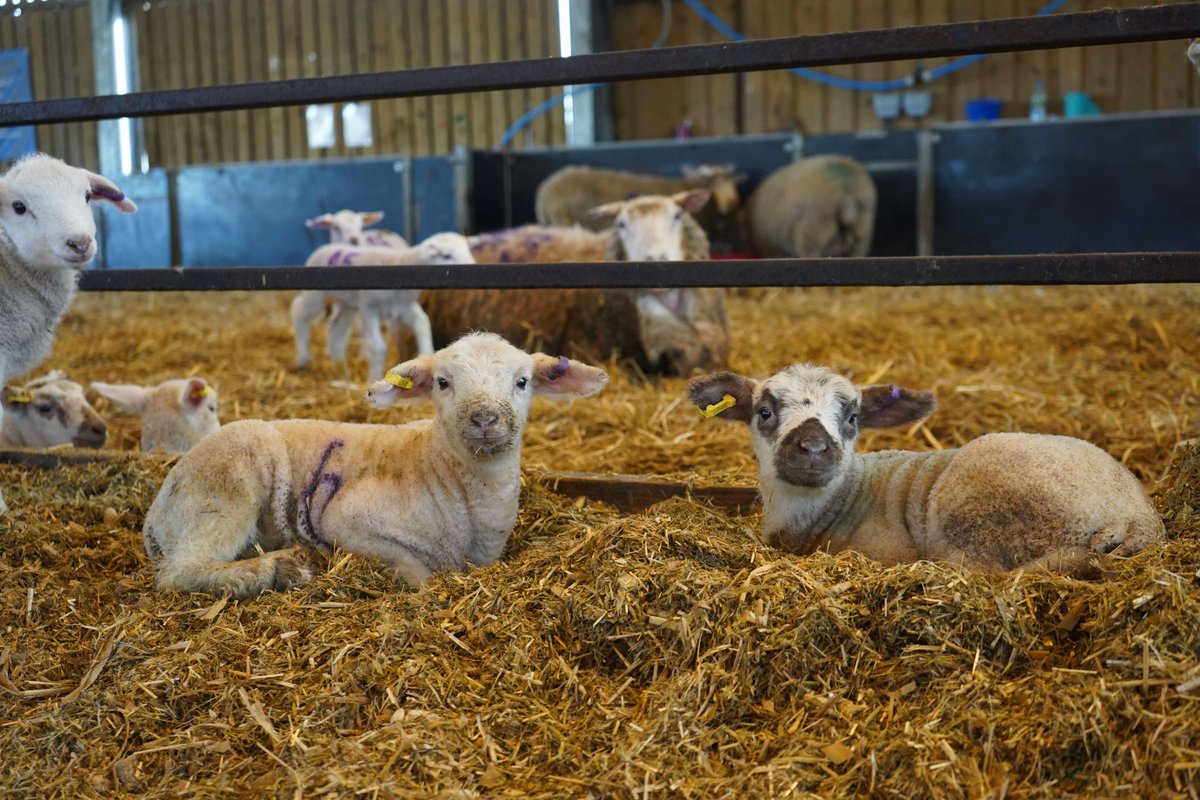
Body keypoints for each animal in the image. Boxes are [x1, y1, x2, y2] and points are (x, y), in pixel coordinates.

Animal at [141, 332, 610, 599]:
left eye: (522, 381)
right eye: (443, 383)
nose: (484, 419)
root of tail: (157, 509)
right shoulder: (344, 519)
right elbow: (416, 572)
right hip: (227, 487)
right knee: (180, 572)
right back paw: (278, 569)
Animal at [291, 232, 474, 382]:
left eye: (467, 251)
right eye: (447, 255)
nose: (472, 267)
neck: (400, 263)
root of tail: (325, 247)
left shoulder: (405, 307)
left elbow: (423, 322)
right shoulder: (369, 308)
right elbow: (377, 347)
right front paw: (373, 378)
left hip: (347, 304)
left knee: (337, 329)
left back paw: (341, 372)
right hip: (316, 294)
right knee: (298, 311)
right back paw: (303, 359)